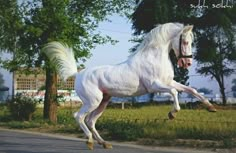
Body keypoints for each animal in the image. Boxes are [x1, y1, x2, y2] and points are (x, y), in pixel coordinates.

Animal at [42, 22, 216, 149]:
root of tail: (78, 74)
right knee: (79, 117)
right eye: (185, 42)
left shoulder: (168, 82)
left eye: (191, 42)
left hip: (103, 101)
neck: (154, 58)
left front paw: (210, 107)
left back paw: (104, 143)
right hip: (92, 101)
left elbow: (191, 90)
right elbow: (174, 92)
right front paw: (172, 114)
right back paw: (90, 142)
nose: (187, 63)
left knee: (91, 121)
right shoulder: (154, 86)